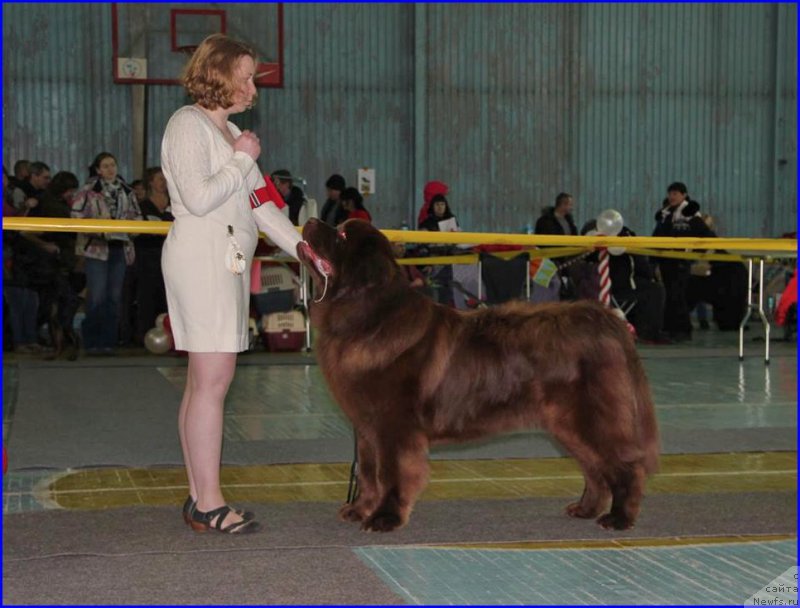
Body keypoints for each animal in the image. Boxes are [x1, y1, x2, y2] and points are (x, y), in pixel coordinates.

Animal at [296, 218, 660, 532]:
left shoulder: (394, 426)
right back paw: (585, 509)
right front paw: (360, 510)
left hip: (592, 417)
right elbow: (369, 472)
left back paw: (619, 518)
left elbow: (392, 474)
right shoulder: (367, 427)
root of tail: (606, 318)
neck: (369, 317)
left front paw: (385, 518)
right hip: (567, 423)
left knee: (625, 465)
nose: (309, 221)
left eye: (342, 235)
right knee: (595, 469)